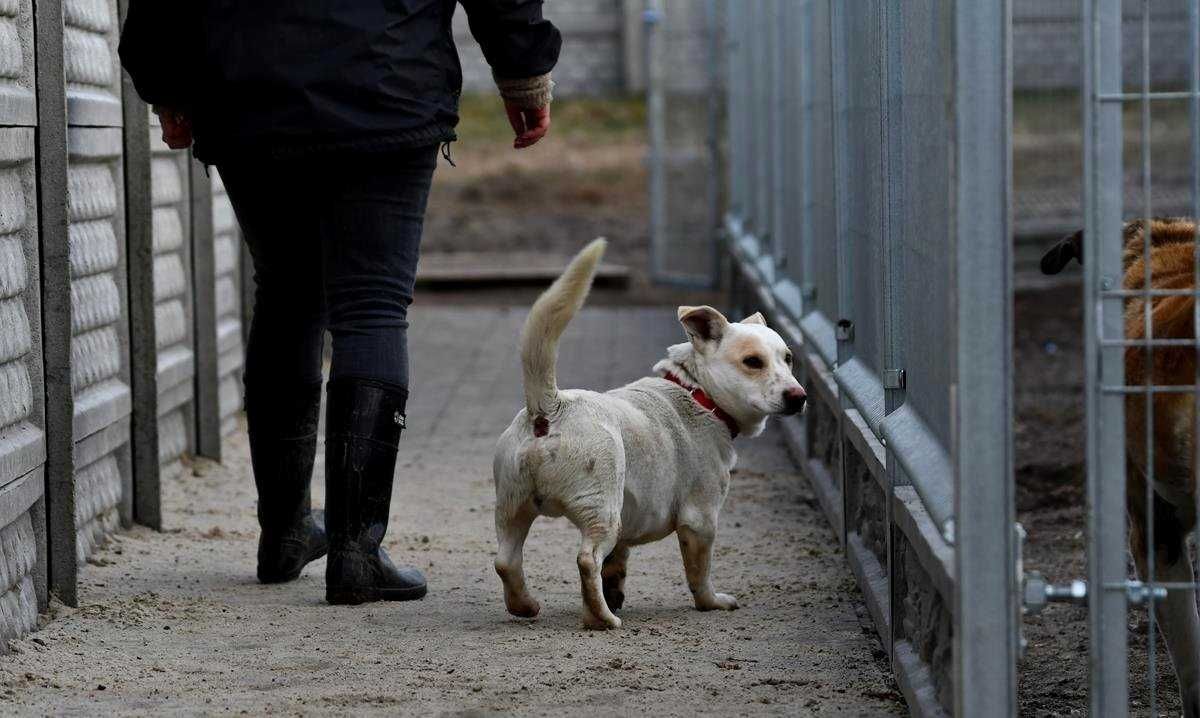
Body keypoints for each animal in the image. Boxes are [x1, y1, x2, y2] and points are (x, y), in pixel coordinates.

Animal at [487, 238, 806, 629]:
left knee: (507, 561)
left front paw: (615, 592)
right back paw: (601, 618)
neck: (697, 392)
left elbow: (616, 564)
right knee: (587, 559)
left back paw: (526, 605)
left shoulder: (628, 526)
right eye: (753, 362)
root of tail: (551, 407)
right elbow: (699, 573)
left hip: (513, 506)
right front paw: (711, 602)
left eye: (788, 358)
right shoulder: (700, 520)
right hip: (602, 510)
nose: (799, 397)